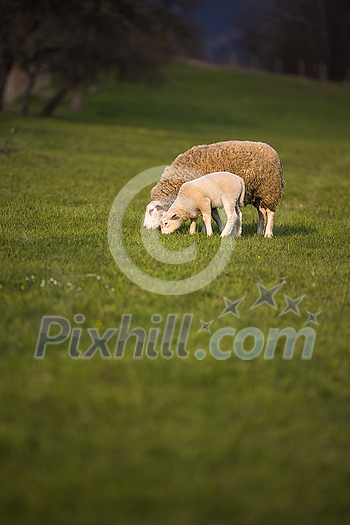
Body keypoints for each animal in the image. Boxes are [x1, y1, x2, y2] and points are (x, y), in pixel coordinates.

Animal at [143, 140, 284, 236]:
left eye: (151, 210)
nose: (144, 227)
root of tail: (271, 149)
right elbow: (213, 215)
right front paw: (210, 230)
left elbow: (210, 215)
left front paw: (211, 231)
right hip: (257, 195)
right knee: (262, 213)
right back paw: (259, 233)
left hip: (270, 190)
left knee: (271, 213)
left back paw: (268, 234)